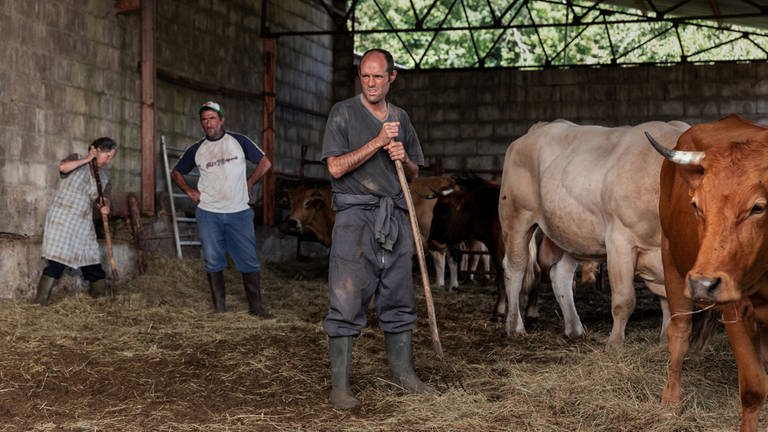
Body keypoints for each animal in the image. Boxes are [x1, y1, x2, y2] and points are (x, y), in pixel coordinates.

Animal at [652, 115, 768, 432]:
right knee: (679, 332)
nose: (704, 284)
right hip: (672, 263)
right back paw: (670, 400)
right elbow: (753, 387)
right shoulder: (735, 309)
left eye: (758, 207)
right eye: (696, 205)